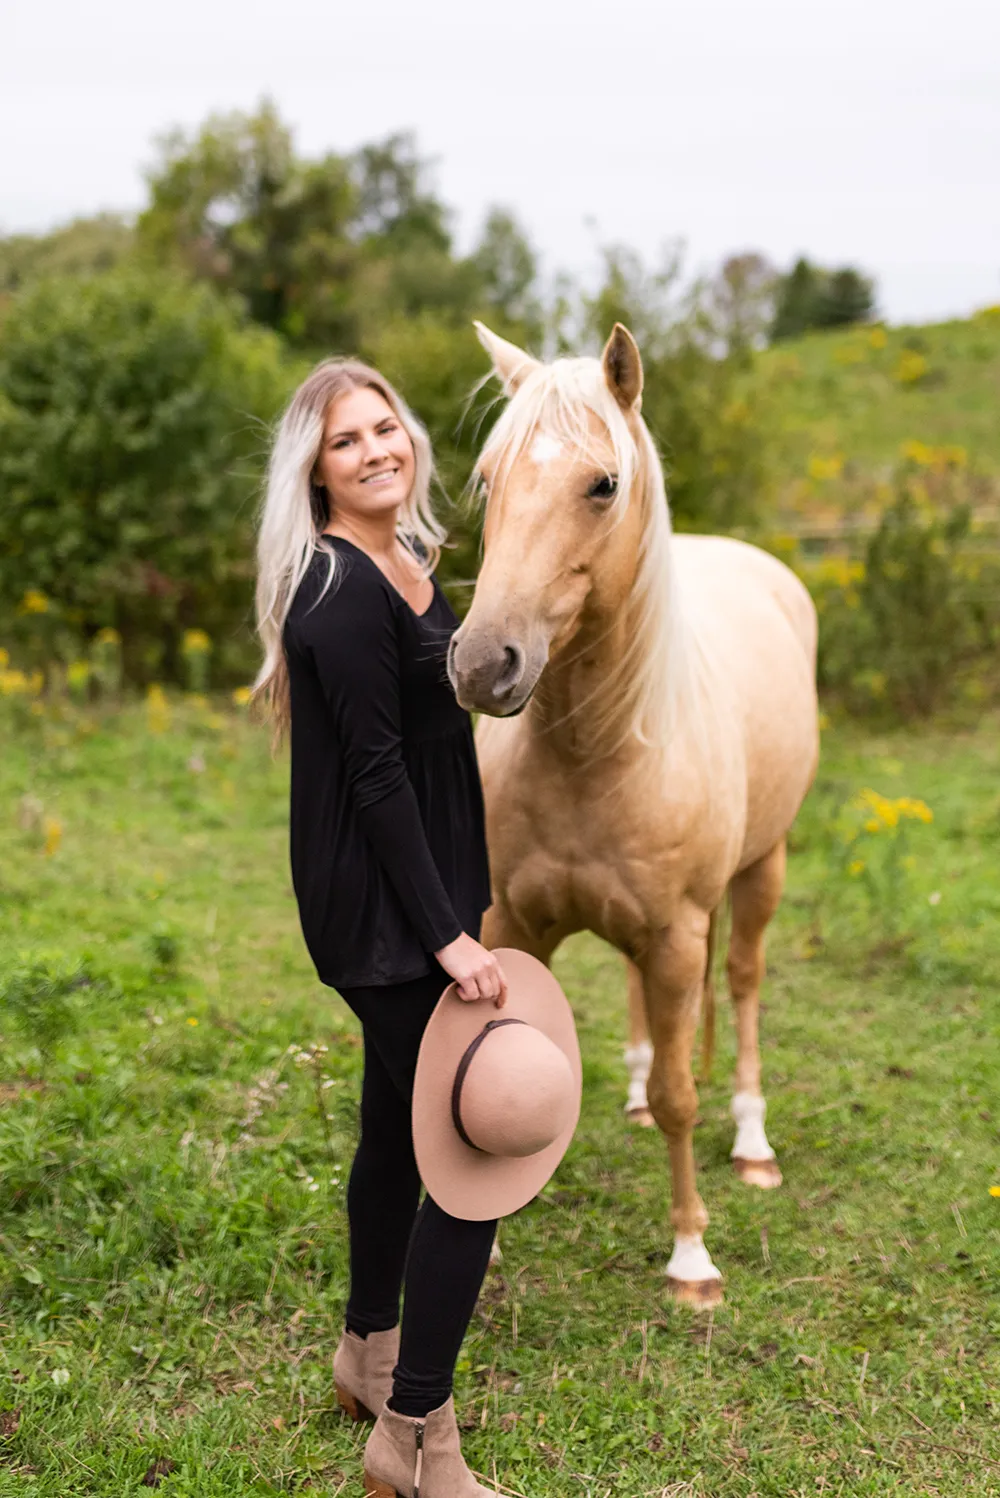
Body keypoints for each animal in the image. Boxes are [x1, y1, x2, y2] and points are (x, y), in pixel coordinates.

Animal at [449, 322, 814, 1306]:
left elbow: (689, 1094)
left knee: (746, 984)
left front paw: (692, 1257)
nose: (481, 664)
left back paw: (753, 1140)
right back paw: (641, 1092)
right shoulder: (511, 926)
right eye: (487, 480)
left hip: (762, 870)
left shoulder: (679, 936)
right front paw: (486, 1247)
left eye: (603, 484)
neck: (597, 749)